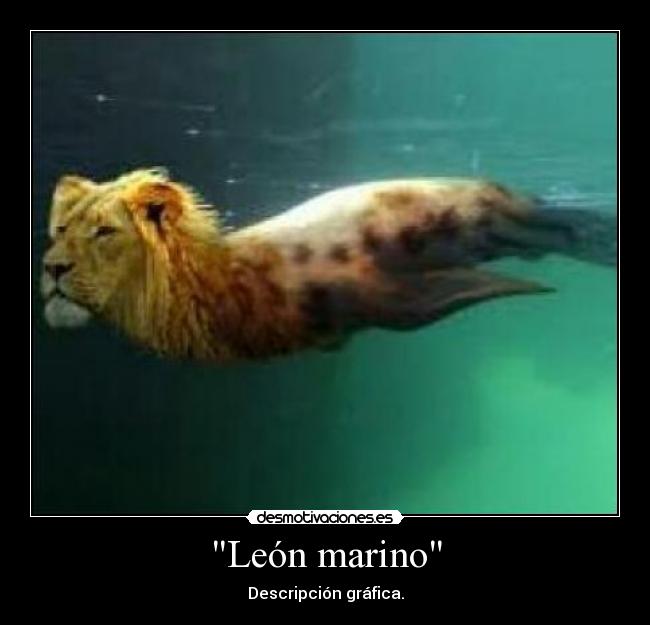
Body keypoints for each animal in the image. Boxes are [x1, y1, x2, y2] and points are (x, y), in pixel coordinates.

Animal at [40, 168, 616, 362]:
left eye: (102, 232)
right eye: (62, 227)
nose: (53, 268)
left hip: (499, 207)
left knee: (537, 215)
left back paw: (584, 225)